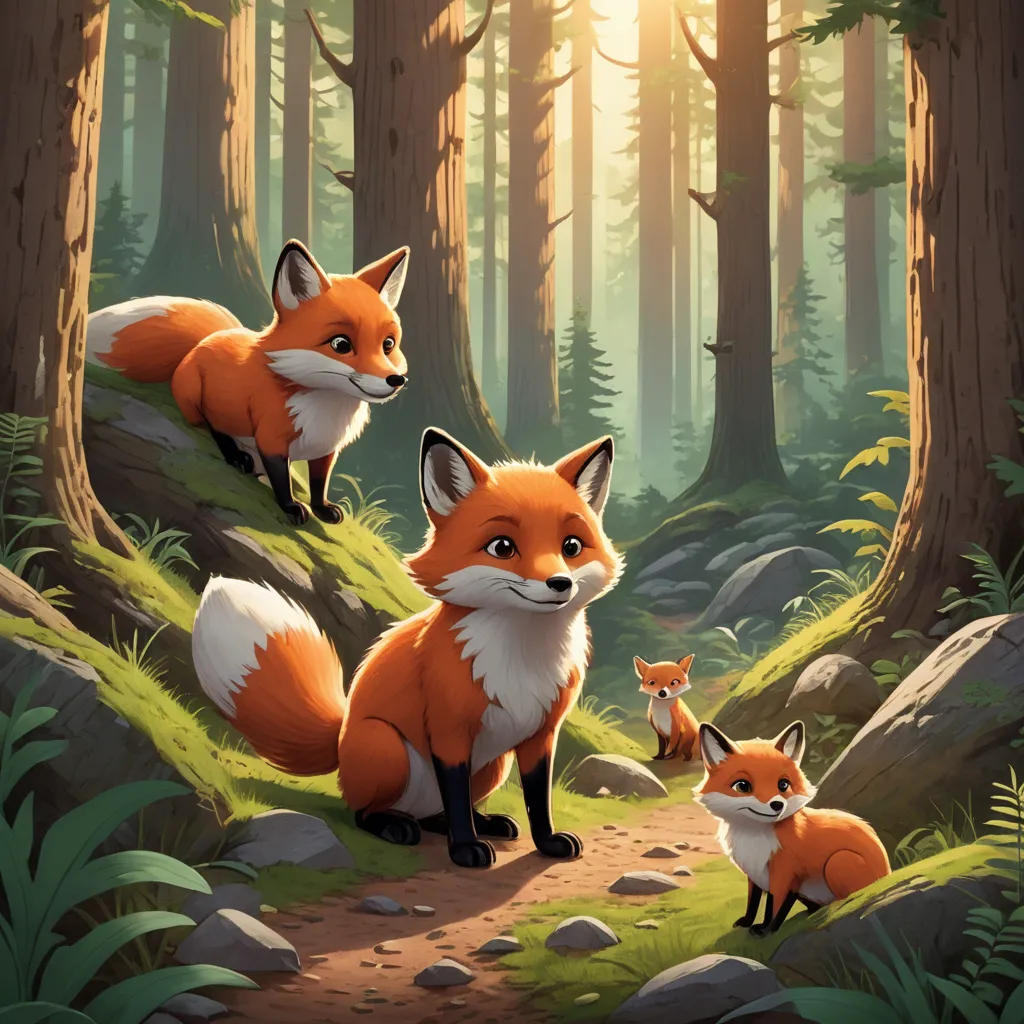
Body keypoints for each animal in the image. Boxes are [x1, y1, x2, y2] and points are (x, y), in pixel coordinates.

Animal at [86, 239, 410, 525]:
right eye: (341, 344)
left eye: (388, 344)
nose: (396, 380)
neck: (324, 411)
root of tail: (205, 340)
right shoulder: (271, 440)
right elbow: (281, 481)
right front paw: (291, 507)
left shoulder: (326, 450)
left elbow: (319, 484)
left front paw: (322, 508)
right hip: (195, 398)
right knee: (211, 426)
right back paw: (236, 456)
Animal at [191, 428, 623, 868]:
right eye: (502, 547)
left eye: (571, 546)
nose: (559, 583)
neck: (521, 659)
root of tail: (341, 736)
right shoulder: (449, 731)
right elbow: (457, 799)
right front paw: (464, 849)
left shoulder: (541, 734)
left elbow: (537, 800)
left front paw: (547, 842)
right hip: (387, 748)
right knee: (365, 811)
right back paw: (395, 826)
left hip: (493, 765)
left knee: (439, 813)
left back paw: (483, 822)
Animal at [694, 720, 890, 934]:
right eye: (742, 786)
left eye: (783, 785)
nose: (777, 805)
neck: (753, 838)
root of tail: (888, 871)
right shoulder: (754, 873)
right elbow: (753, 903)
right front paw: (747, 922)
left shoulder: (784, 872)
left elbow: (775, 905)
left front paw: (765, 930)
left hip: (838, 862)